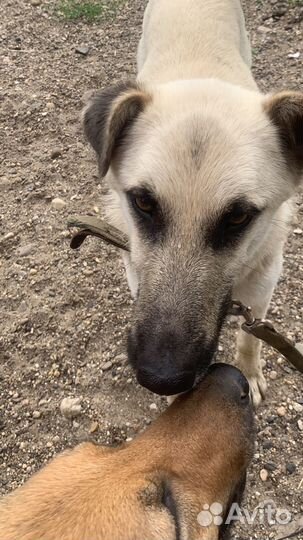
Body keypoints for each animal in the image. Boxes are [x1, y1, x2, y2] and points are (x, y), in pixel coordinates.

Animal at [83, 0, 303, 404]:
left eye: (238, 217)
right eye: (143, 203)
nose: (161, 377)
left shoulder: (262, 287)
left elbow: (250, 339)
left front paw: (249, 373)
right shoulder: (138, 278)